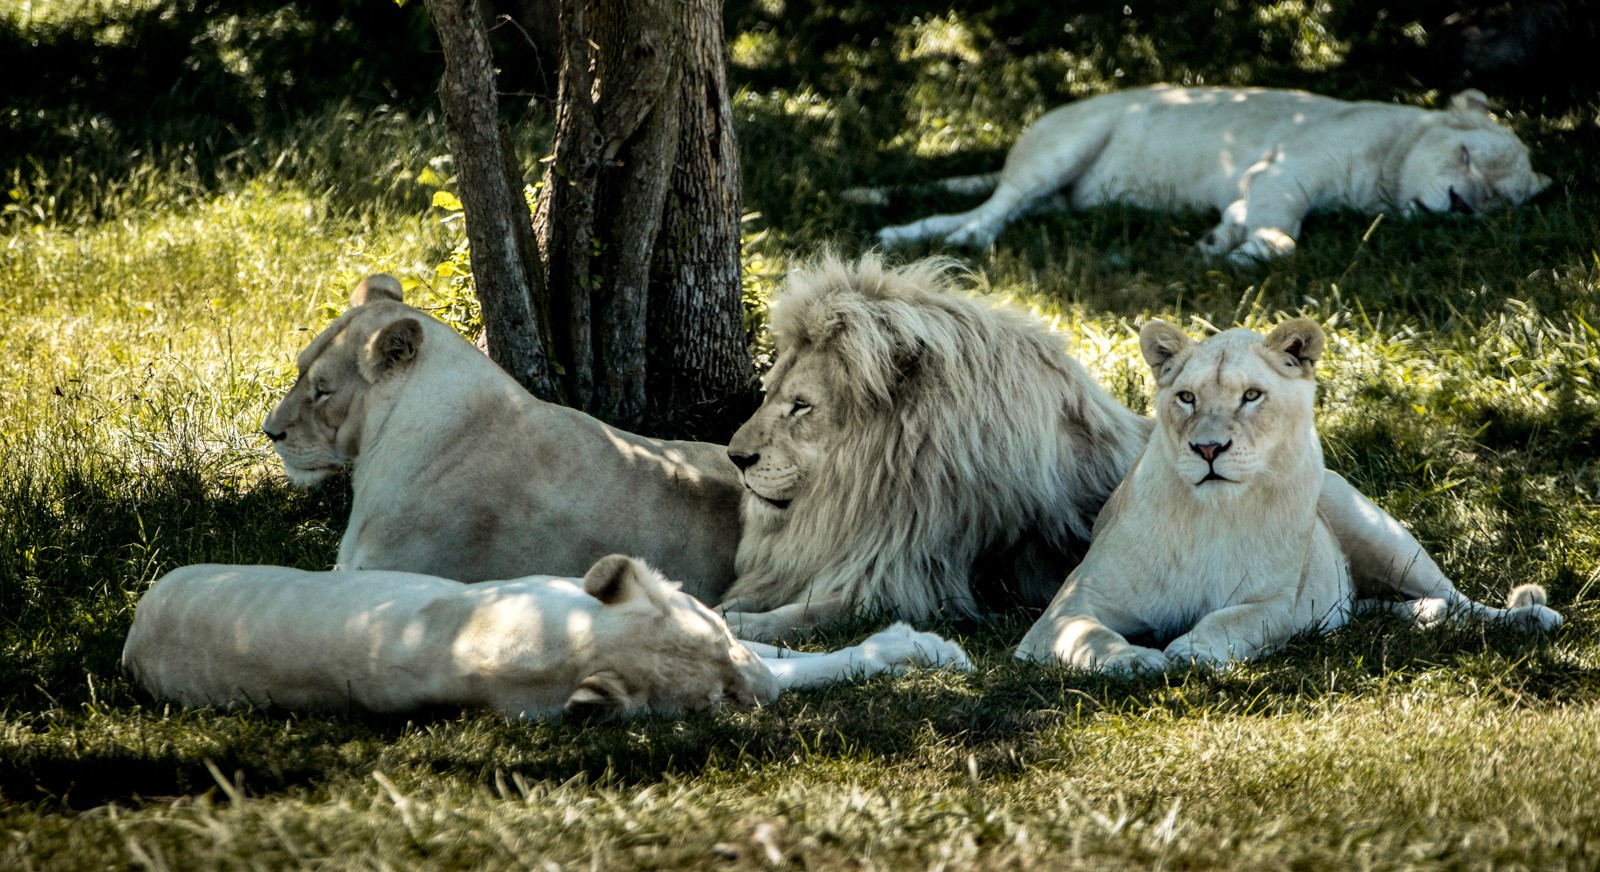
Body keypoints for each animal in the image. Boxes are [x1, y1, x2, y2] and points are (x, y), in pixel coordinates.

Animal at [719, 254, 1153, 640]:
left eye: (801, 405)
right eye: (768, 392)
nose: (735, 458)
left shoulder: (897, 586)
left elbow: (795, 616)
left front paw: (733, 628)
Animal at [863, 85, 1550, 263]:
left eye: (1499, 201)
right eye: (1465, 157)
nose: (1462, 205)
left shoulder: (1263, 186)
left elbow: (1251, 221)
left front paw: (1222, 240)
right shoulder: (1285, 171)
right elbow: (1282, 235)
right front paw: (1243, 253)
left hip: (1056, 197)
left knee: (975, 207)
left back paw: (903, 235)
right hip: (1065, 147)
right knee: (995, 207)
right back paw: (966, 241)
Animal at [1014, 319, 1564, 672]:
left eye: (1251, 396)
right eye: (1186, 398)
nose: (1207, 448)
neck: (1211, 515)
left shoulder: (1276, 600)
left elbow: (1235, 617)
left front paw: (1192, 650)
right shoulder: (1067, 608)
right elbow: (1090, 635)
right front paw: (1135, 659)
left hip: (1378, 532)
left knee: (1461, 601)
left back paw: (1530, 617)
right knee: (1390, 607)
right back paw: (1423, 617)